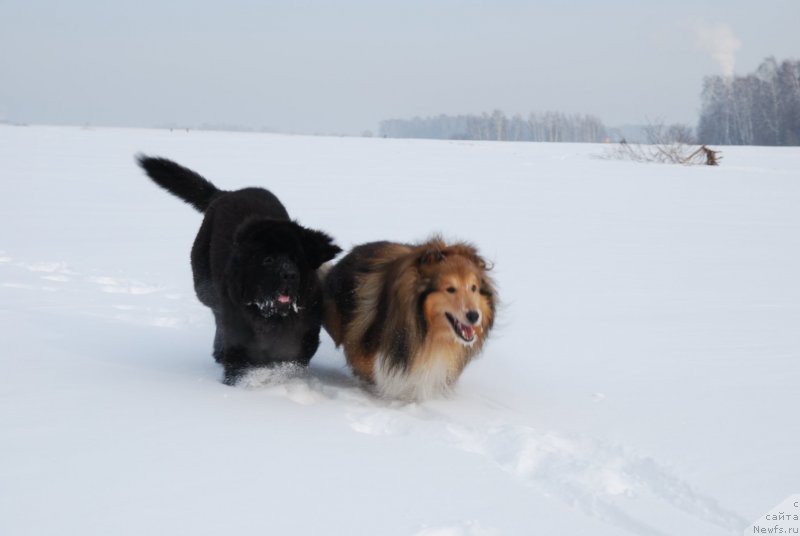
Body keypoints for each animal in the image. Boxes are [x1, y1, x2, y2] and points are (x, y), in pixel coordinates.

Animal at [138, 156, 340, 386]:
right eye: (268, 260)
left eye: (295, 258)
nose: (289, 275)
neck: (271, 316)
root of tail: (225, 193)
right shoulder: (239, 337)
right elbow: (237, 364)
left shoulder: (304, 335)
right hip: (205, 286)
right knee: (216, 314)